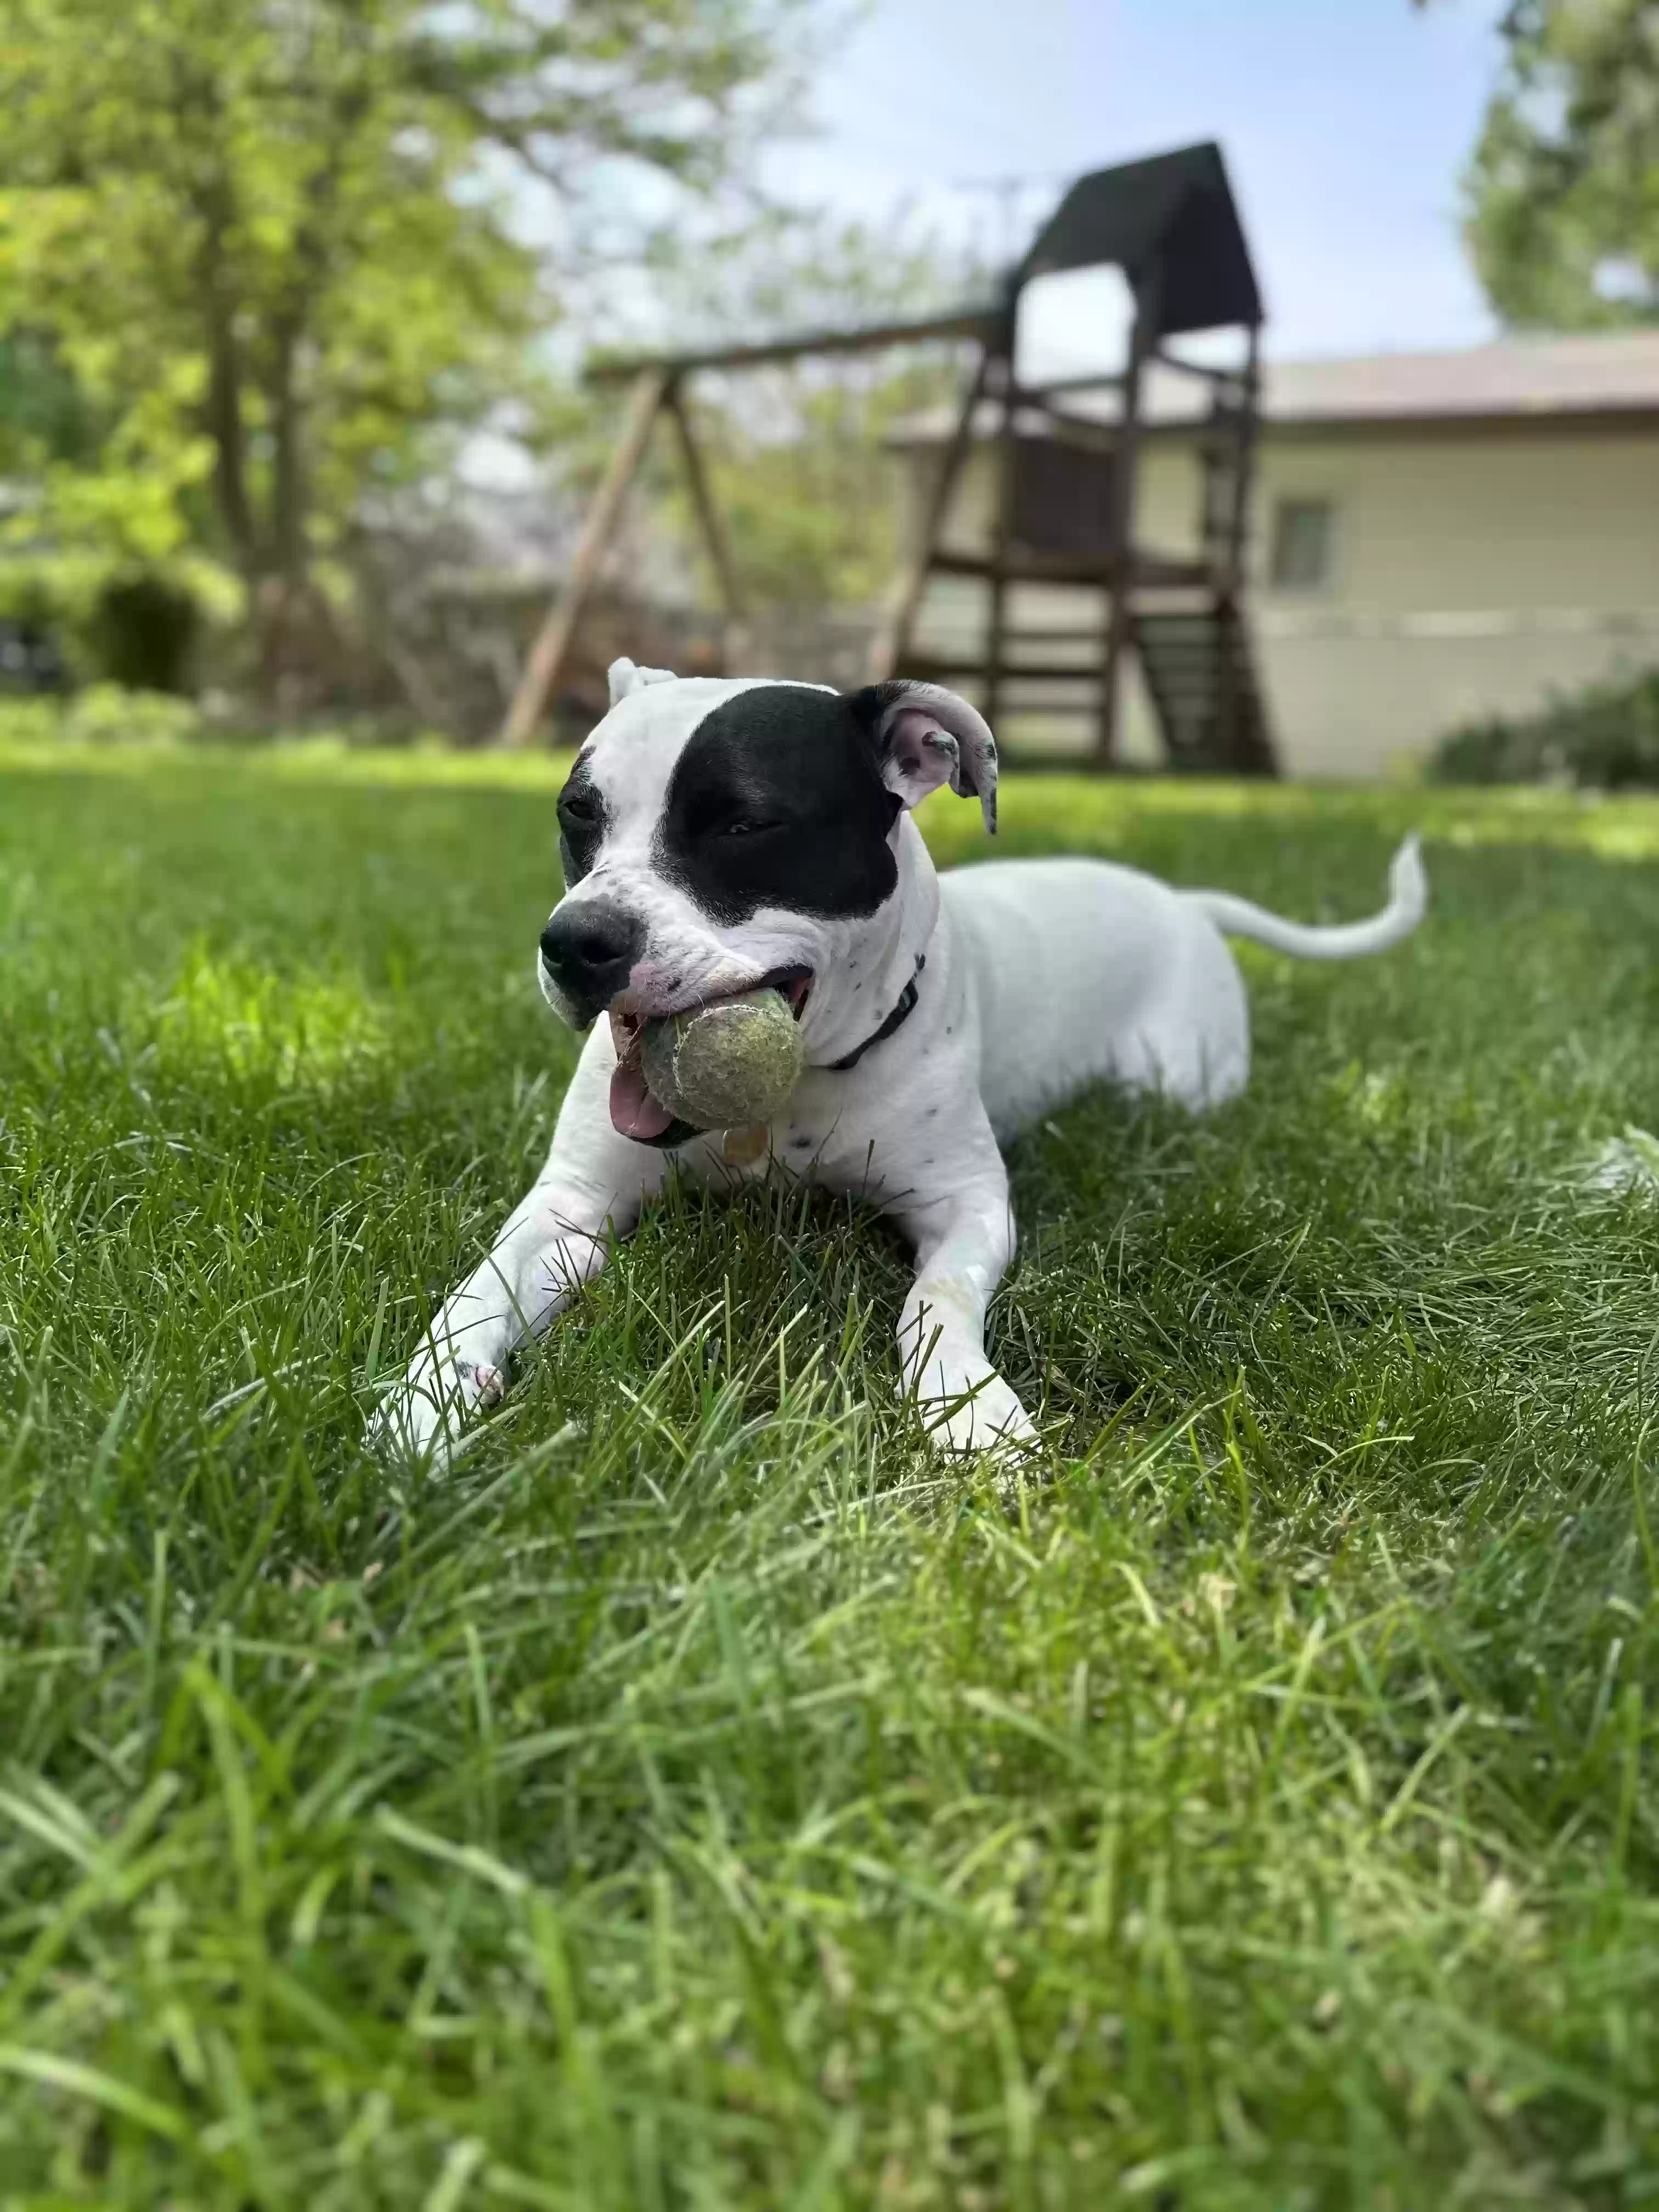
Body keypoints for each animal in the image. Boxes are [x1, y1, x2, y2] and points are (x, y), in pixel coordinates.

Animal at [380, 654, 1433, 1469]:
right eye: (577, 814)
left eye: (744, 824)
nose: (575, 943)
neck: (797, 1091)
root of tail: (1182, 901)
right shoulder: (569, 1205)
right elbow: (477, 1290)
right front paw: (421, 1398)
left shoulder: (969, 1204)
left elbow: (935, 1299)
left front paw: (972, 1409)